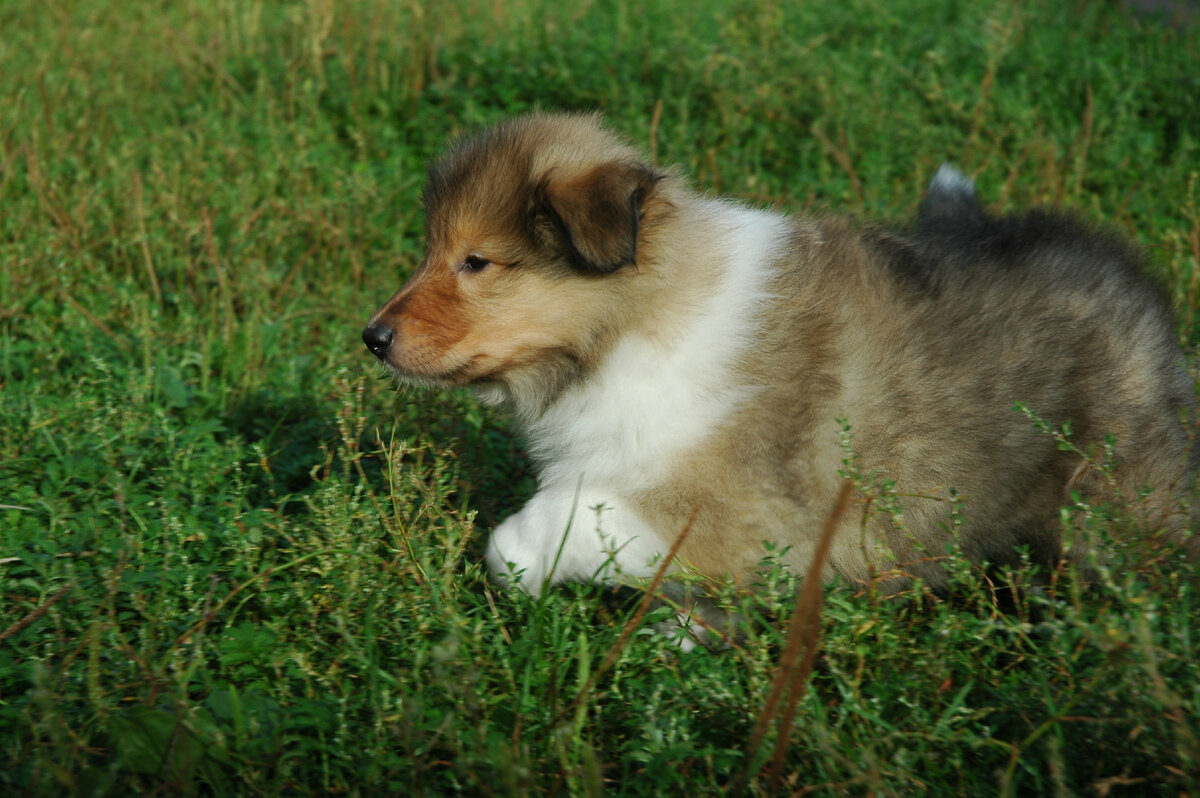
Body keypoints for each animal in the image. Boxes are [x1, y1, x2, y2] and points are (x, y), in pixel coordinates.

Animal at [360, 113, 1195, 604]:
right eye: (432, 250)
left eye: (476, 262)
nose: (372, 338)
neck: (632, 324)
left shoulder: (741, 515)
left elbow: (558, 518)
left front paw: (521, 568)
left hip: (1115, 499)